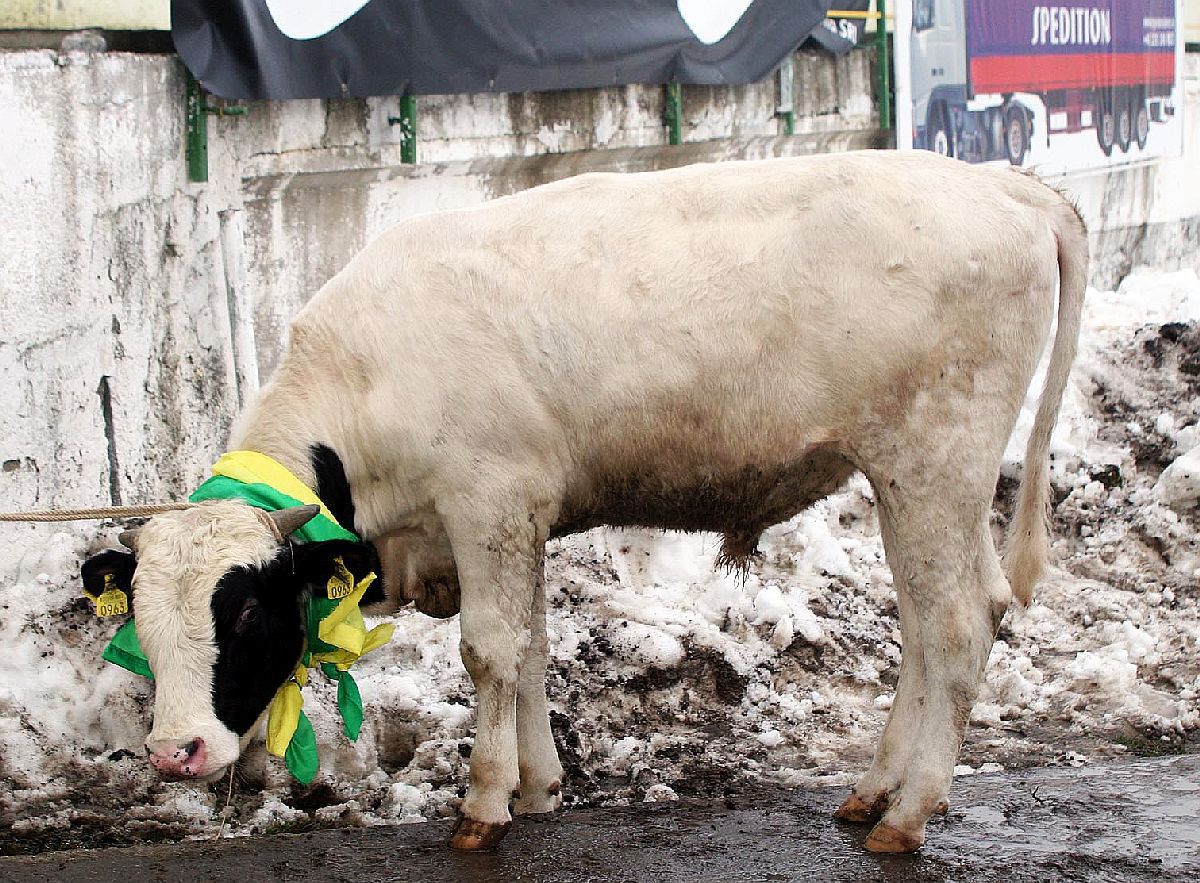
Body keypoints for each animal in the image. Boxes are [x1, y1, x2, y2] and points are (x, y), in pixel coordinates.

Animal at [87, 148, 1089, 854]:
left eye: (248, 612)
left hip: (935, 464)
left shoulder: (488, 501)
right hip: (910, 479)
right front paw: (537, 785)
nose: (175, 751)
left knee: (956, 623)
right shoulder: (517, 514)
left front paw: (484, 800)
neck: (370, 379)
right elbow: (528, 649)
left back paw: (908, 813)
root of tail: (1008, 186)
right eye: (140, 618)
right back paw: (874, 788)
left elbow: (489, 650)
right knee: (933, 623)